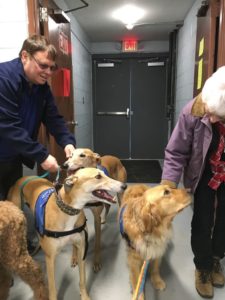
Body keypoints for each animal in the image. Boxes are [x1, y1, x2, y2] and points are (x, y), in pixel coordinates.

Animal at [8, 168, 125, 300]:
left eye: (104, 174)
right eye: (98, 177)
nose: (124, 186)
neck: (67, 210)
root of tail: (24, 178)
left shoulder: (82, 248)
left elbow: (82, 279)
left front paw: (85, 296)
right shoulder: (50, 258)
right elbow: (52, 288)